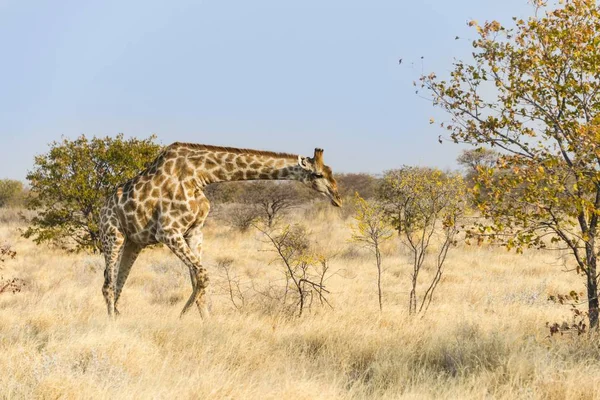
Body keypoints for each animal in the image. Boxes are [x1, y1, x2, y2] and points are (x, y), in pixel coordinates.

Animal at [101, 142, 340, 318]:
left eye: (330, 171)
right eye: (318, 175)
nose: (337, 197)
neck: (198, 175)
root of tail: (103, 207)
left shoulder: (194, 231)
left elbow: (198, 279)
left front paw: (205, 323)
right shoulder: (168, 231)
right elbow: (202, 275)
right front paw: (182, 316)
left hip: (134, 242)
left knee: (118, 283)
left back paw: (119, 316)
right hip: (113, 235)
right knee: (108, 285)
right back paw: (112, 324)